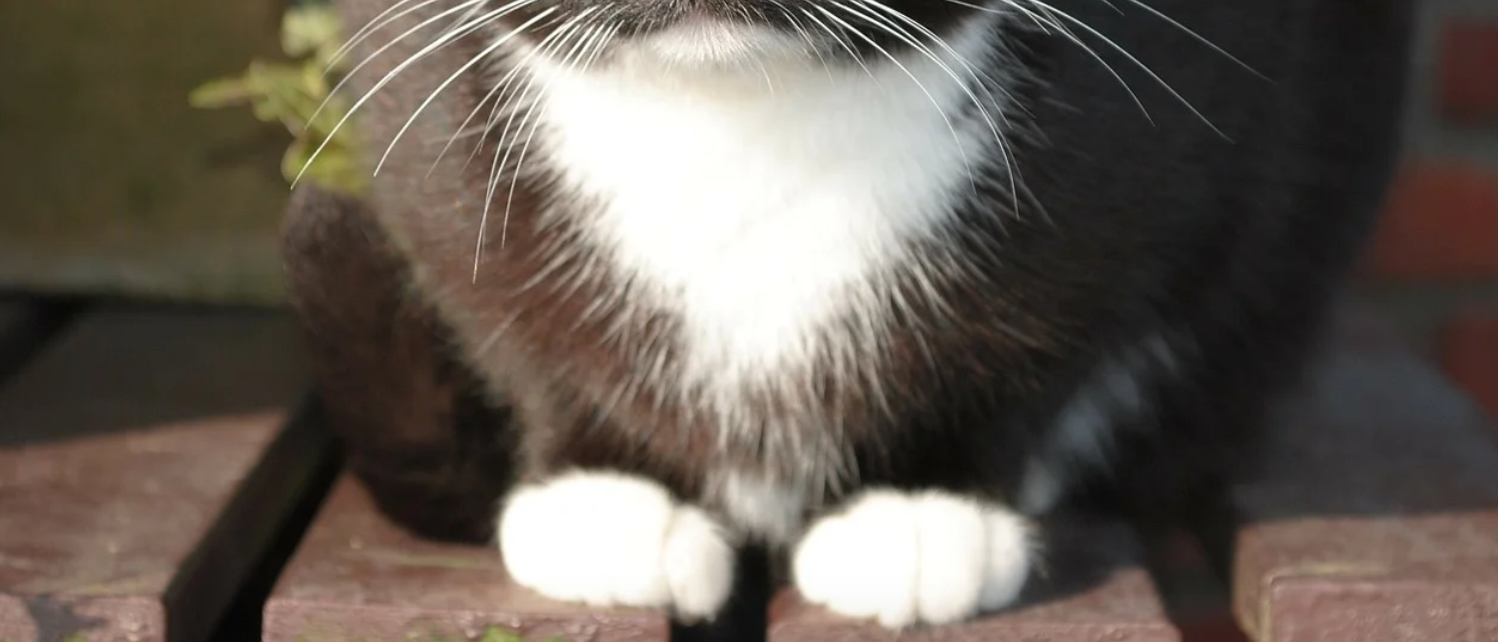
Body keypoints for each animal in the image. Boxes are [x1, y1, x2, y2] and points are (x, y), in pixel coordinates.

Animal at [281, 0, 1414, 625]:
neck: (738, 120)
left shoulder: (1150, 148)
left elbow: (1042, 322)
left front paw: (920, 510)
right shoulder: (424, 111)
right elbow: (513, 318)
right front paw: (607, 498)